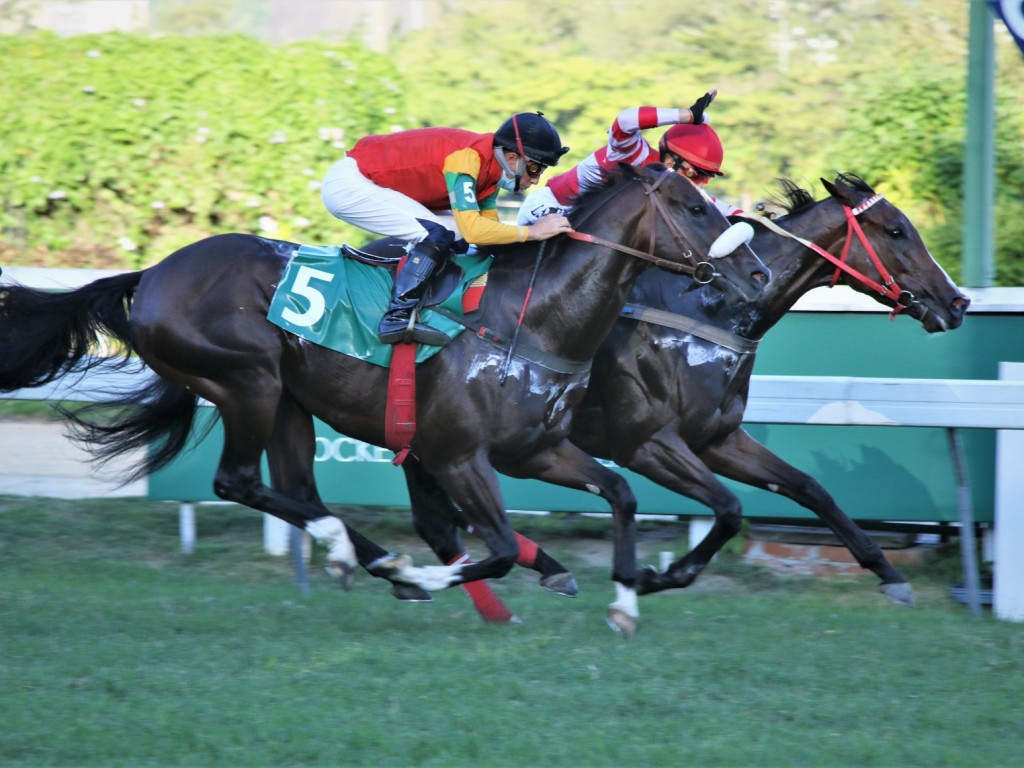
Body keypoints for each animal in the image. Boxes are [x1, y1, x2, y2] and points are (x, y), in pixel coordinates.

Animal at [0, 163, 770, 630]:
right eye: (694, 206)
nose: (760, 273)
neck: (532, 315)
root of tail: (153, 273)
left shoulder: (537, 451)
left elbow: (621, 496)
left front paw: (627, 598)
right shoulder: (458, 455)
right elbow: (490, 545)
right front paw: (438, 577)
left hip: (289, 401)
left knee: (296, 489)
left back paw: (370, 558)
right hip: (248, 381)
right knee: (239, 480)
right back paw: (374, 559)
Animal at [399, 173, 966, 626]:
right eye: (896, 231)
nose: (958, 302)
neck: (710, 313)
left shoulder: (718, 438)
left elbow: (810, 489)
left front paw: (887, 571)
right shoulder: (647, 444)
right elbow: (730, 509)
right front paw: (653, 578)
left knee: (436, 519)